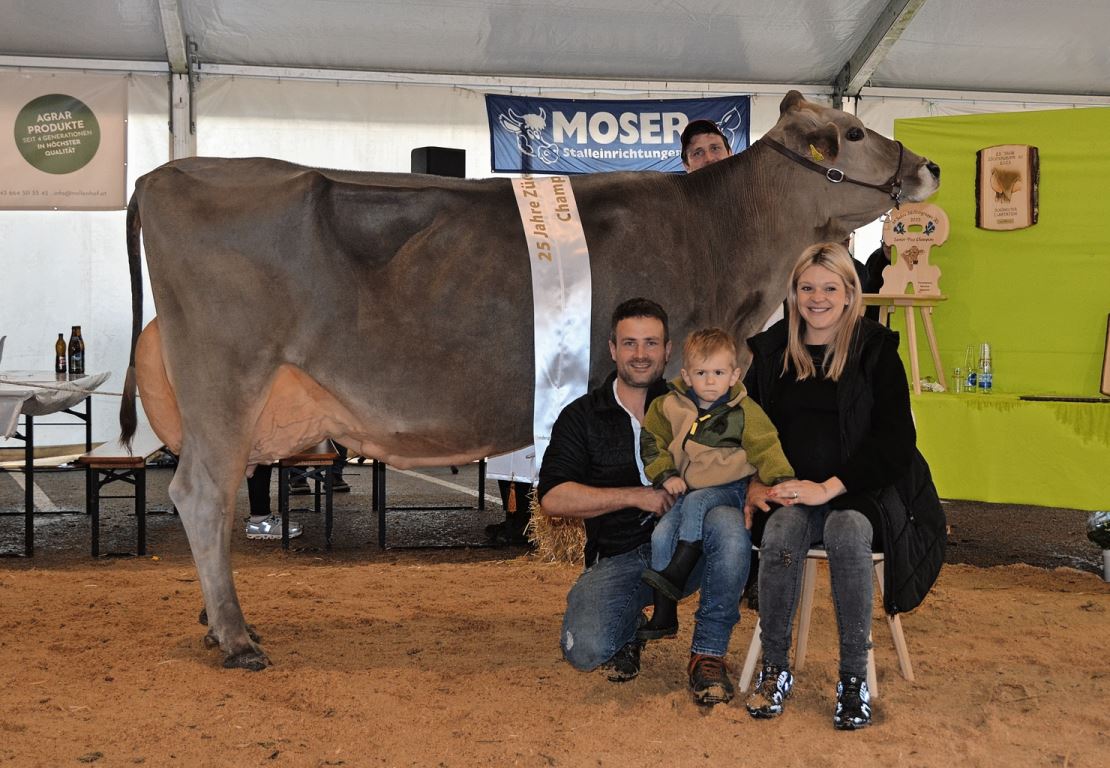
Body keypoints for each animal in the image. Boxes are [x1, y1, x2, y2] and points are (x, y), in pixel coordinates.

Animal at [119, 88, 936, 665]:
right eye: (853, 134)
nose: (926, 166)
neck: (723, 240)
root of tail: (167, 172)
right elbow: (677, 501)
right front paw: (662, 613)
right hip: (228, 375)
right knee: (200, 493)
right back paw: (235, 637)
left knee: (219, 495)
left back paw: (214, 620)